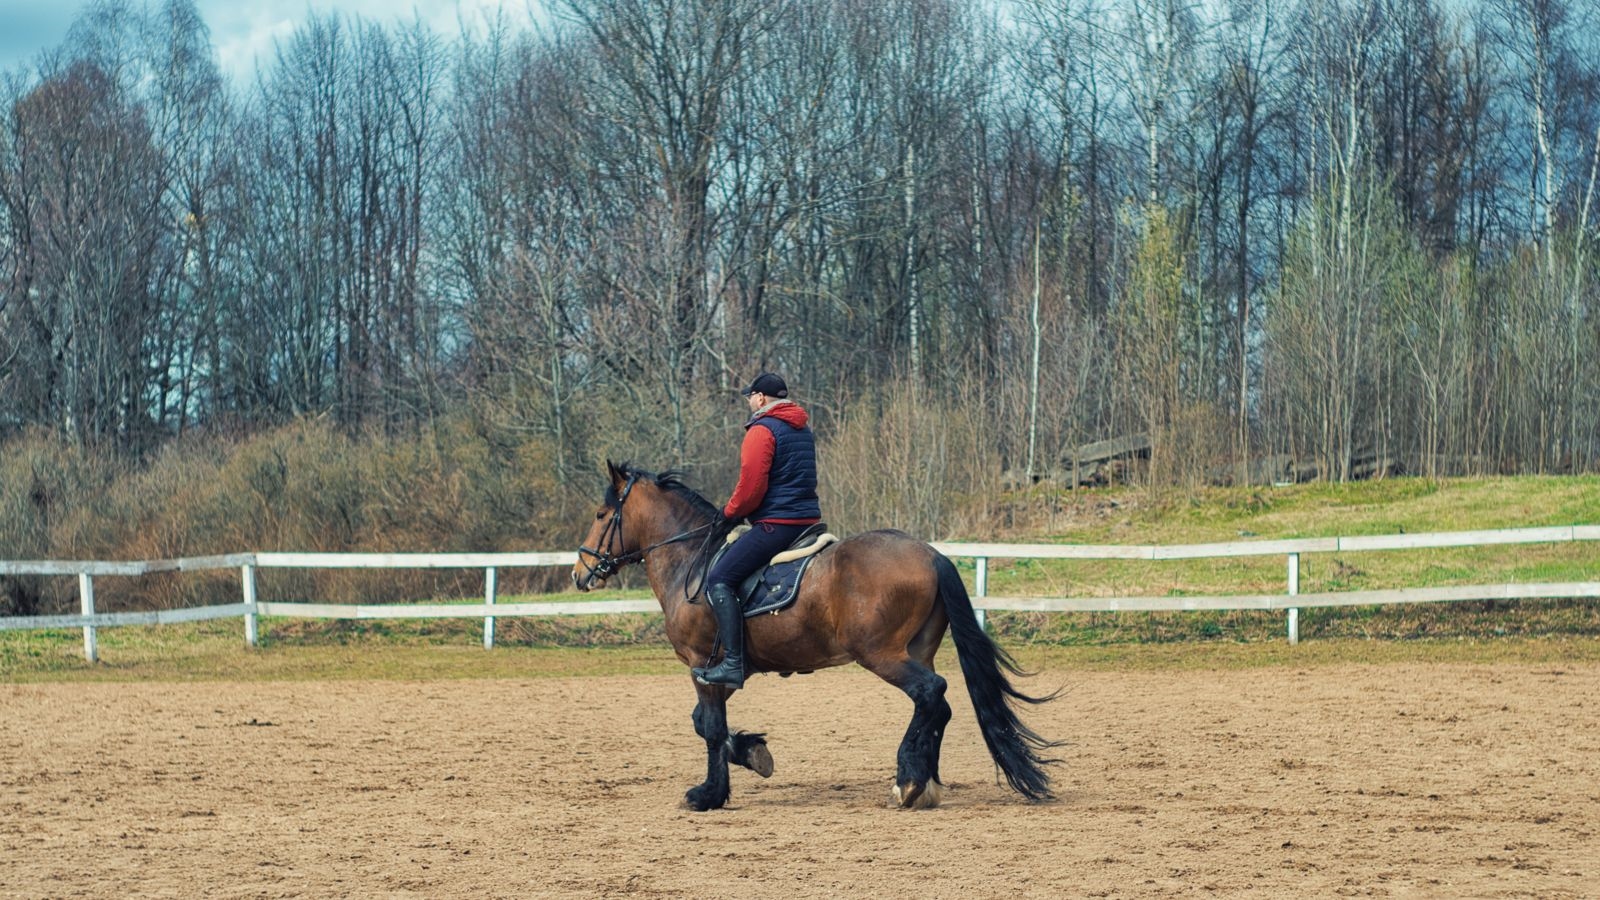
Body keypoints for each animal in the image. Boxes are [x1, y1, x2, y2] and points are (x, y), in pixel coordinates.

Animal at [572, 461, 1061, 810]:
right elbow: (705, 723)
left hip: (882, 654)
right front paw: (753, 753)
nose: (580, 572)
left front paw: (708, 794)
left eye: (600, 514)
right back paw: (924, 784)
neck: (691, 558)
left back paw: (908, 780)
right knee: (937, 707)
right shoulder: (722, 672)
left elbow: (709, 728)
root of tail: (930, 553)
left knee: (931, 693)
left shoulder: (701, 665)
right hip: (915, 649)